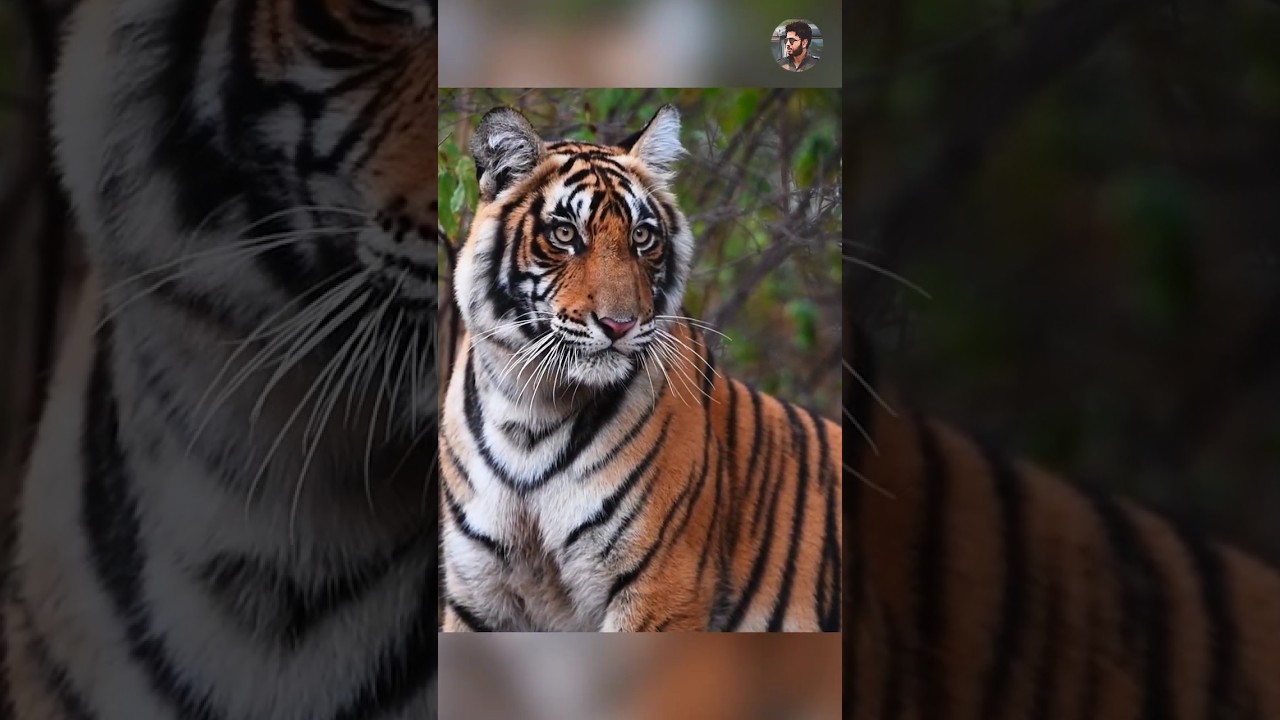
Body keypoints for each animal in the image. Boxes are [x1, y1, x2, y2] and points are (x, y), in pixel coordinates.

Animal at [439, 103, 843, 632]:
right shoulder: (477, 594)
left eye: (642, 236)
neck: (528, 408)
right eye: (565, 234)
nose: (619, 324)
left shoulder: (661, 589)